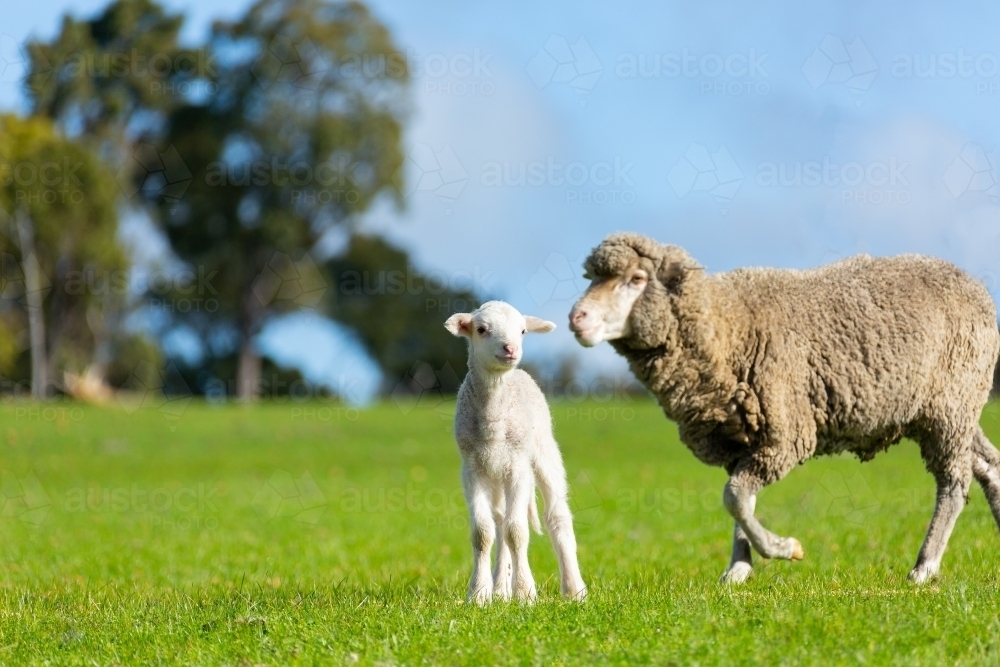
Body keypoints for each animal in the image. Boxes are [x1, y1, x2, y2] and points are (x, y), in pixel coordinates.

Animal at [446, 300, 584, 604]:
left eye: (522, 331)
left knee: (556, 516)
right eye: (481, 329)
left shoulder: (519, 468)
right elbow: (483, 533)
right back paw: (500, 589)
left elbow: (516, 531)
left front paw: (525, 593)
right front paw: (479, 594)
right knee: (499, 520)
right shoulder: (472, 469)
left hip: (543, 451)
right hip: (495, 472)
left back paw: (574, 590)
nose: (510, 349)